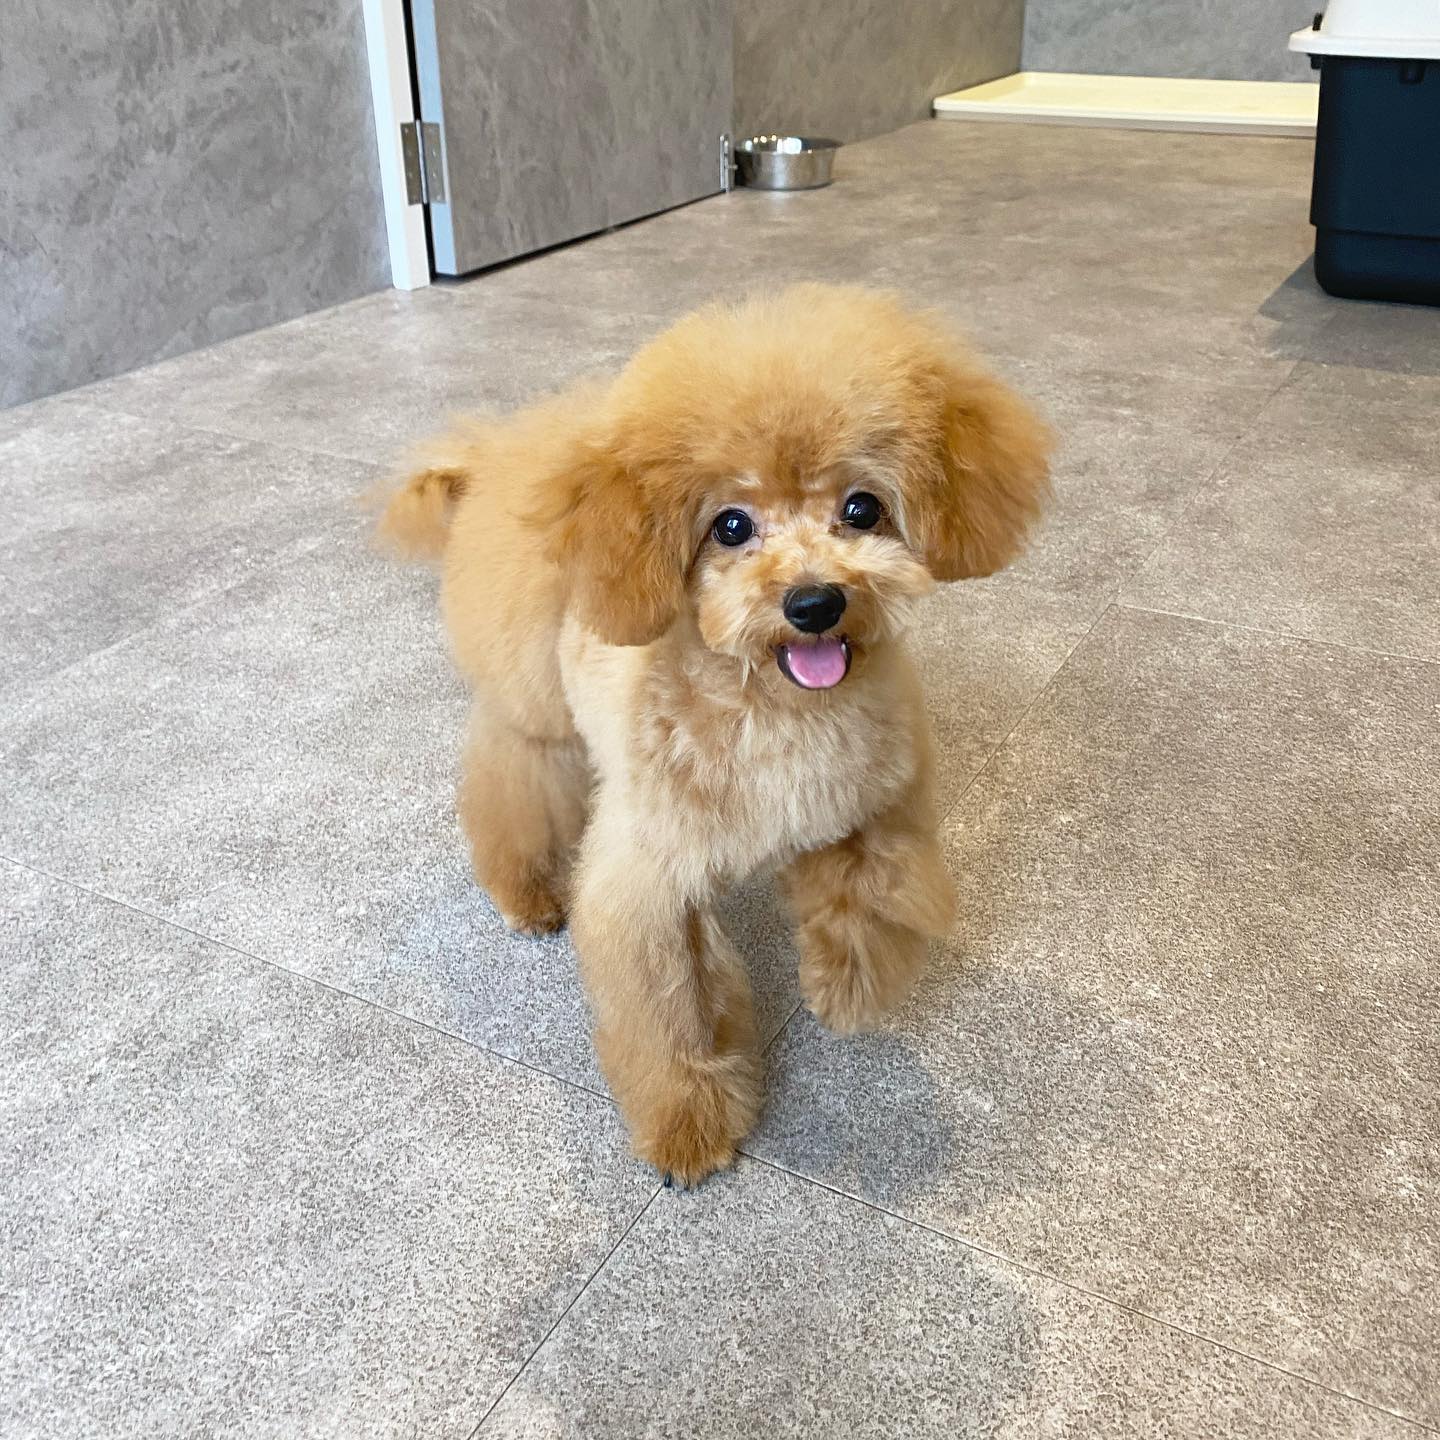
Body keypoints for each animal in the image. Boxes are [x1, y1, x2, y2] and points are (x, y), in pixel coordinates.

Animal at [378, 284, 1052, 1185]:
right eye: (730, 526)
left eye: (861, 508)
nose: (814, 603)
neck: (772, 707)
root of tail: (505, 449)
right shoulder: (649, 884)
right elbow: (668, 1015)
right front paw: (688, 1125)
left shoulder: (877, 796)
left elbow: (876, 885)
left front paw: (846, 985)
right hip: (538, 708)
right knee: (510, 779)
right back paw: (527, 890)